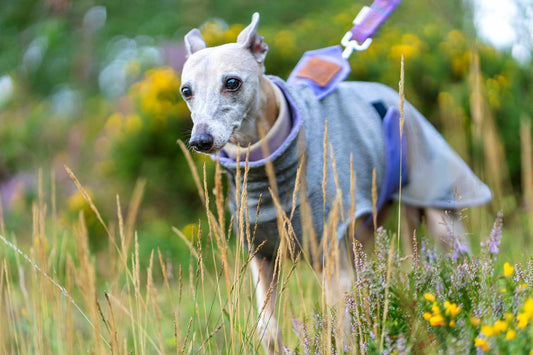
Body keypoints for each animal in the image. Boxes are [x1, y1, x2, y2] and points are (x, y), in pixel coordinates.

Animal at [180, 12, 490, 354]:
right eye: (186, 91)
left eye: (232, 82)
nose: (200, 140)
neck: (269, 166)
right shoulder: (263, 258)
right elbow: (268, 329)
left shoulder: (331, 258)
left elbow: (339, 328)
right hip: (363, 237)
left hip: (439, 213)